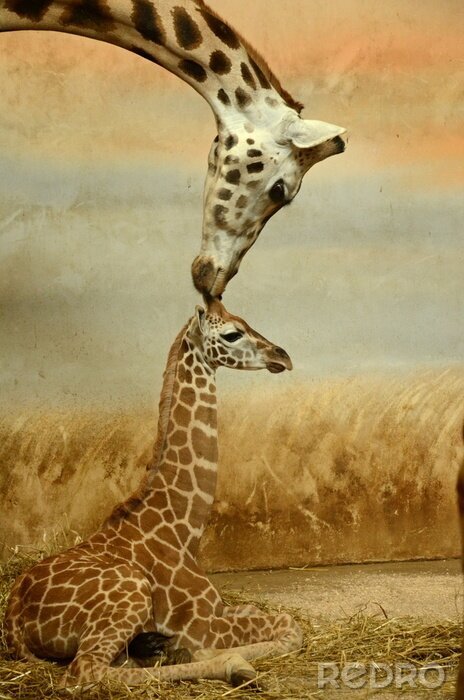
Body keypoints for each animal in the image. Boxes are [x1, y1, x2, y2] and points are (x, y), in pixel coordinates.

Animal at [4, 298, 301, 687]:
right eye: (232, 333)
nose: (283, 356)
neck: (183, 527)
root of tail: (13, 620)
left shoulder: (220, 609)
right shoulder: (202, 624)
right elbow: (290, 626)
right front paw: (213, 655)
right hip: (129, 594)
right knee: (86, 670)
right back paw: (229, 663)